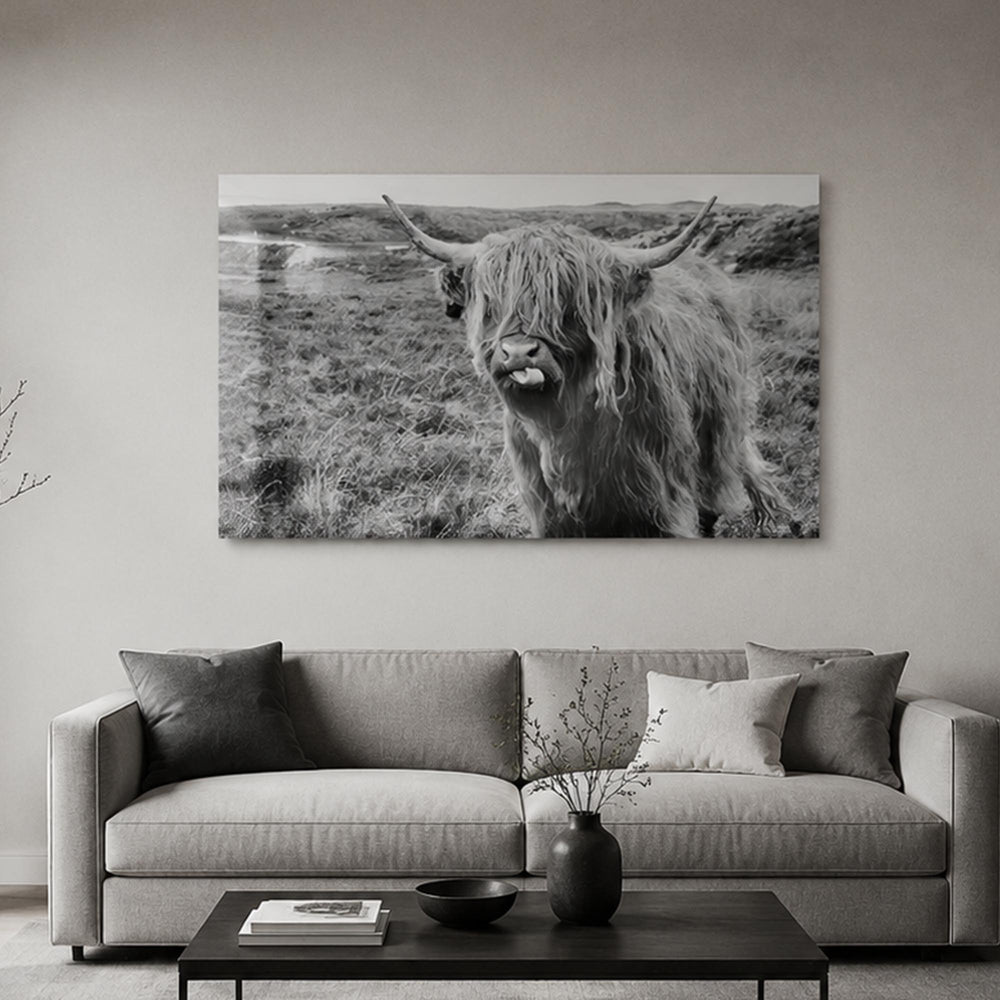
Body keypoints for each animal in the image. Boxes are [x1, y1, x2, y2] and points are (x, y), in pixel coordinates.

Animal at [383, 195, 786, 538]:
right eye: (491, 302)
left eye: (569, 302)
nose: (518, 353)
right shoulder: (547, 507)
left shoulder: (659, 497)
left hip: (723, 419)